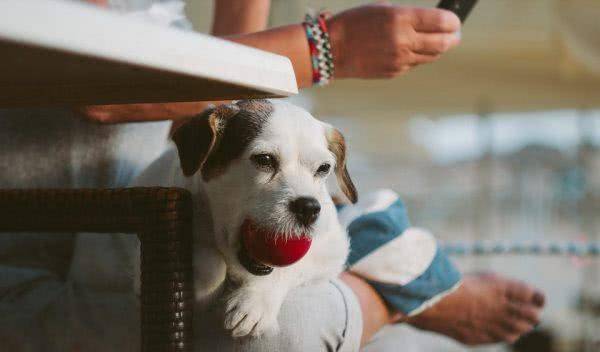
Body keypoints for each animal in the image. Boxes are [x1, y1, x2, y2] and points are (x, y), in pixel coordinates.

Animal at [131, 98, 356, 336]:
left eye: (324, 168)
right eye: (264, 159)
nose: (309, 208)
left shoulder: (332, 249)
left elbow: (291, 266)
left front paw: (256, 300)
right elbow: (208, 258)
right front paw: (201, 281)